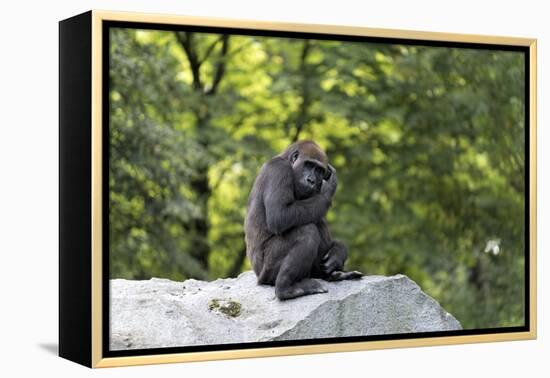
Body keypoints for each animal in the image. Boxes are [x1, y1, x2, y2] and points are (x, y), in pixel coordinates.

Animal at [246, 140, 362, 300]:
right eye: (308, 164)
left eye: (319, 170)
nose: (311, 180)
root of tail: (258, 277)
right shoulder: (279, 170)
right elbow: (279, 215)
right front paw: (328, 188)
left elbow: (315, 211)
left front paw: (338, 251)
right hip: (266, 273)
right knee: (307, 231)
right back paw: (286, 288)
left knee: (316, 222)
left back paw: (331, 275)